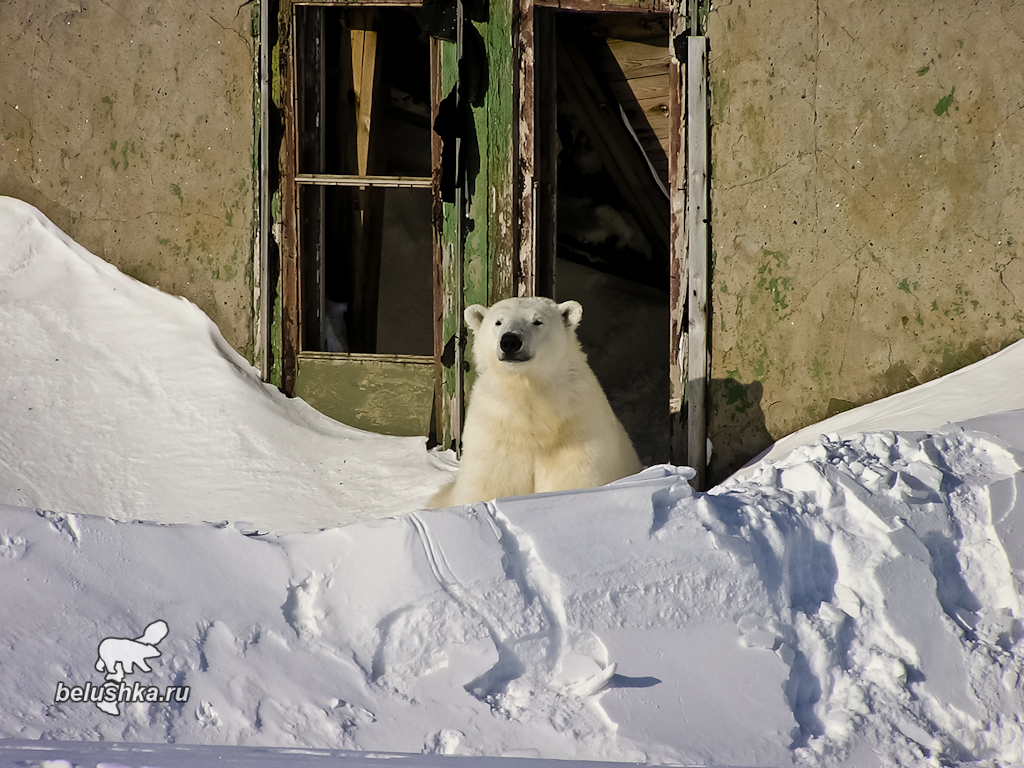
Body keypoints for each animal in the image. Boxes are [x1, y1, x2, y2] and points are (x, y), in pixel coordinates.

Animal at [428, 296, 642, 508]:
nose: (510, 341)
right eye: (498, 322)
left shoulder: (577, 430)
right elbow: (491, 484)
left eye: (537, 321)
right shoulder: (496, 432)